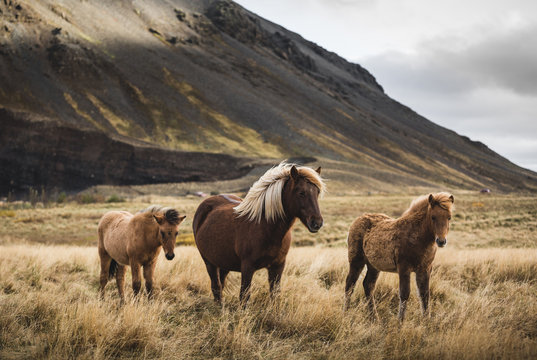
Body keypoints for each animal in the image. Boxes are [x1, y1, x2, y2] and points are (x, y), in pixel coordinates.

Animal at [194, 162, 326, 306]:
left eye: (317, 192)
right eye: (301, 192)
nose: (317, 223)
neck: (266, 228)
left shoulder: (278, 266)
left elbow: (275, 294)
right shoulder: (247, 267)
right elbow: (244, 296)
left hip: (224, 262)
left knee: (220, 284)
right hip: (209, 262)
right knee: (216, 287)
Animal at [344, 193, 452, 322]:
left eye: (449, 217)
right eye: (433, 217)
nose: (441, 241)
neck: (416, 236)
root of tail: (358, 219)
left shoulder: (425, 269)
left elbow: (425, 294)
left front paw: (427, 321)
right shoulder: (404, 268)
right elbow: (404, 294)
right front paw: (400, 322)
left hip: (373, 266)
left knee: (368, 285)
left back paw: (374, 318)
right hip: (356, 262)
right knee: (350, 285)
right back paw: (345, 313)